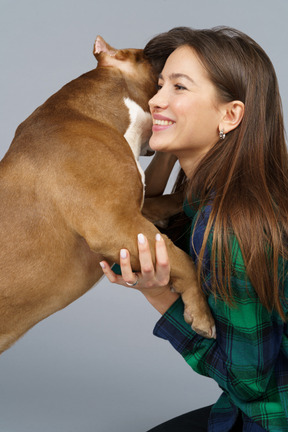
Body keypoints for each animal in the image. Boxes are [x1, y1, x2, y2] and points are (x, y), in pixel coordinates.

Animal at [0, 37, 216, 354]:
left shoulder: (136, 212)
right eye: (149, 53)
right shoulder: (115, 224)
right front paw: (201, 314)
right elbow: (182, 260)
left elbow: (169, 201)